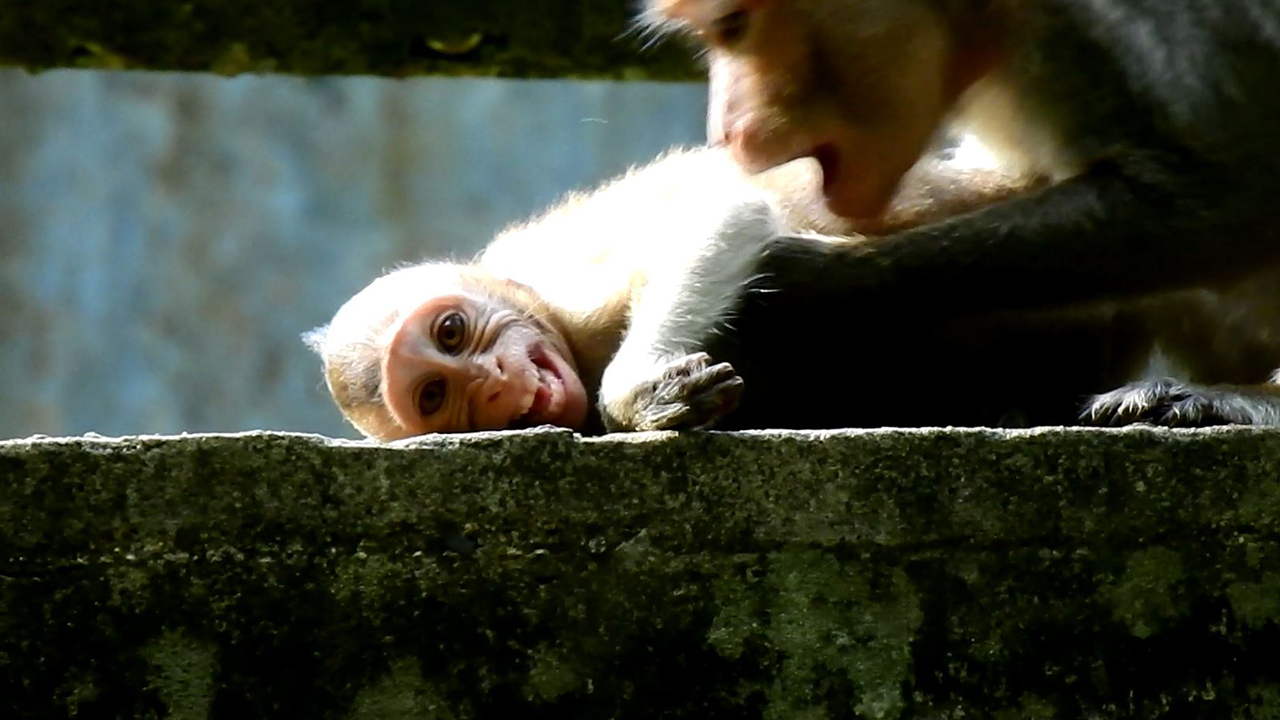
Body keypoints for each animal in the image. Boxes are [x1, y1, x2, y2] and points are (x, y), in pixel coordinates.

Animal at [302, 137, 1039, 435]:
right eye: (435, 395)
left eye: (451, 332)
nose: (488, 382)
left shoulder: (575, 296)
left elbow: (723, 214)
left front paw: (632, 397)